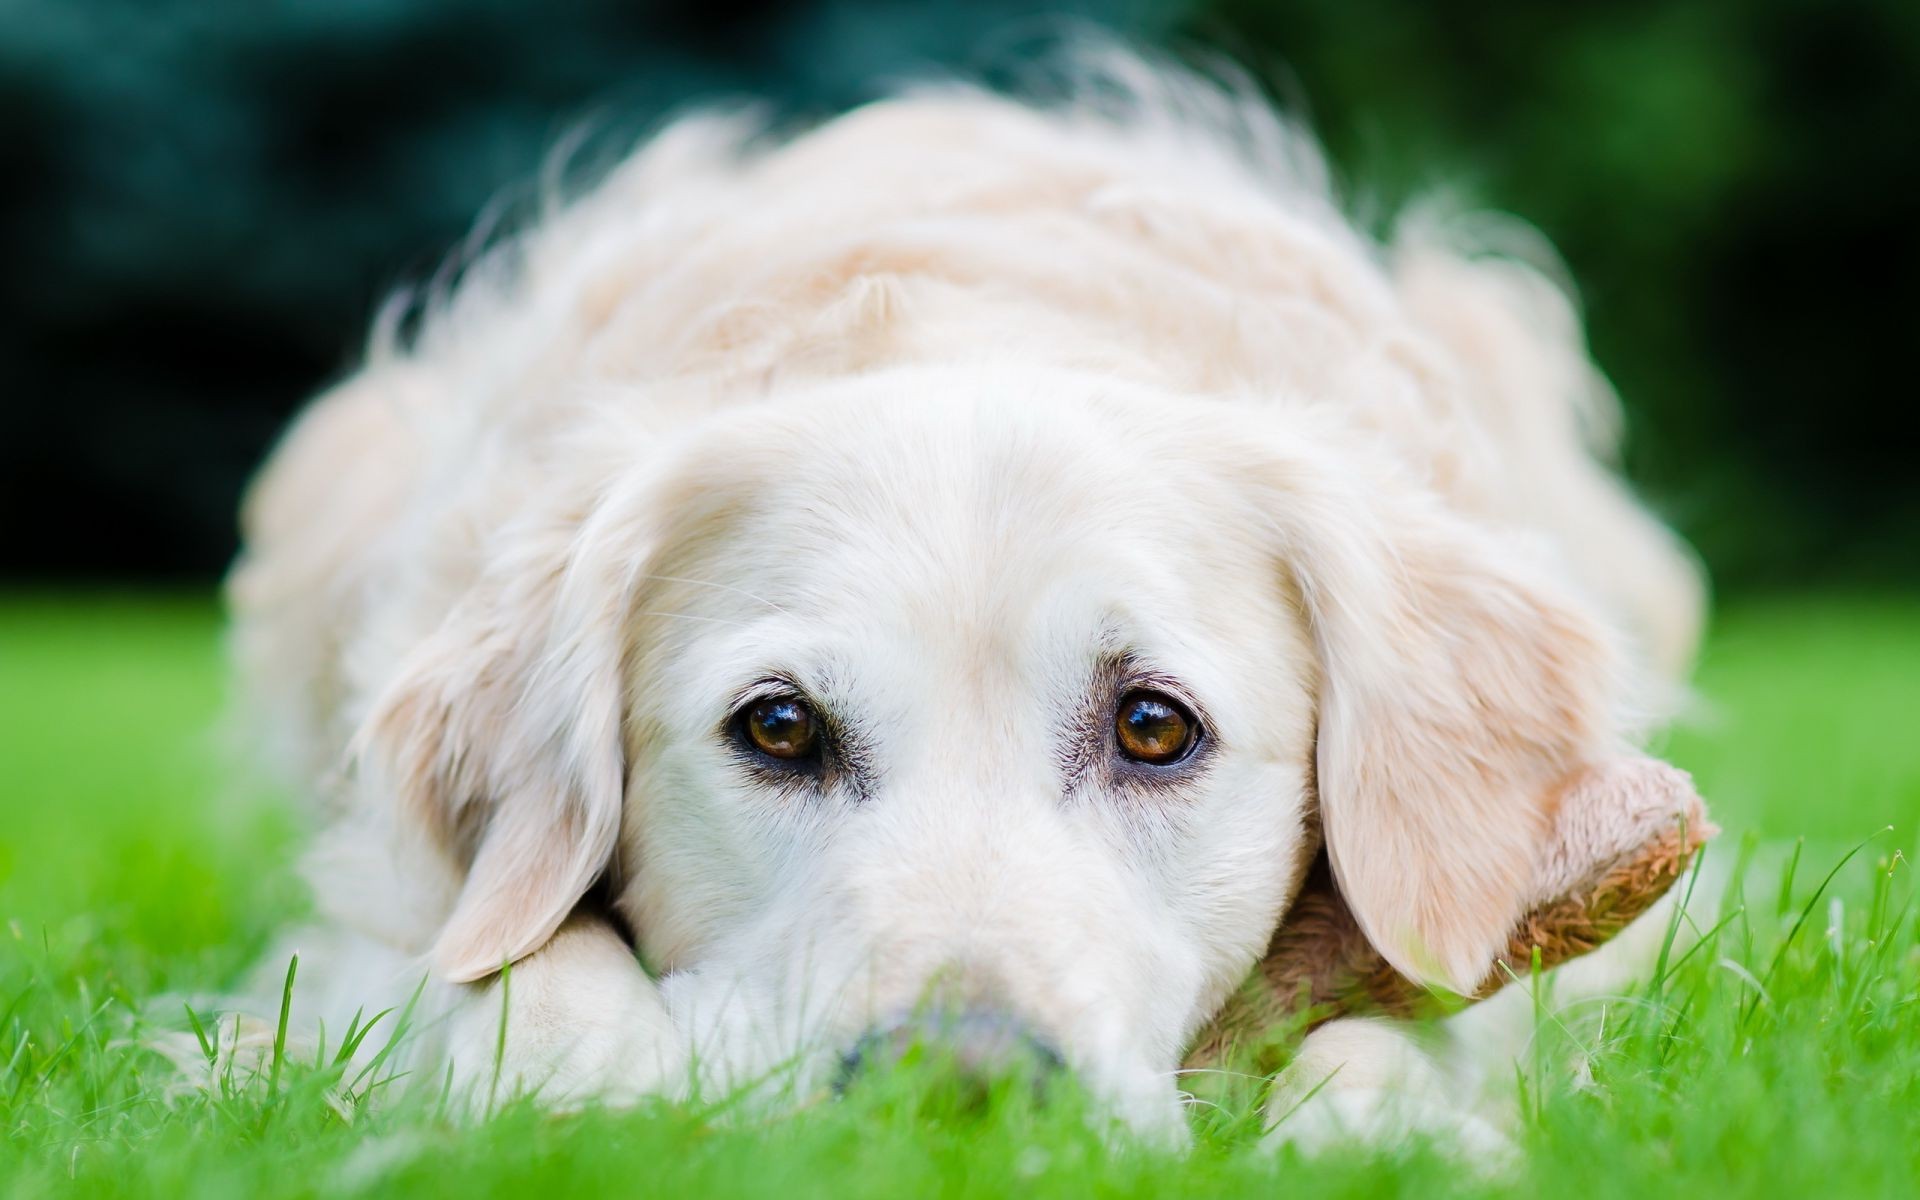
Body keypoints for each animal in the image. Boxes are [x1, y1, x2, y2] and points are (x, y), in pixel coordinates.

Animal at [220, 51, 1712, 1144]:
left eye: (1156, 728)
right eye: (776, 728)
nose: (964, 1085)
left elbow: (1399, 1034)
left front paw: (1383, 1134)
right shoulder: (378, 920)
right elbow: (525, 979)